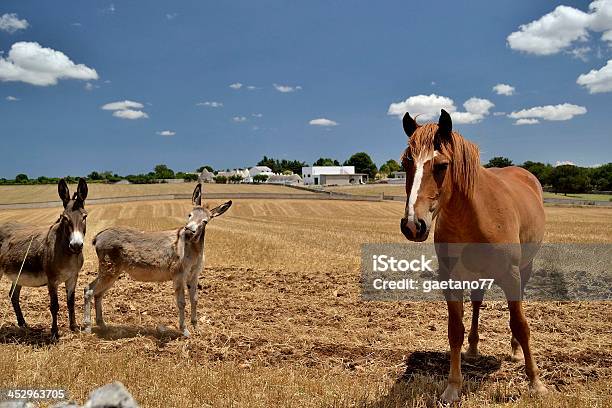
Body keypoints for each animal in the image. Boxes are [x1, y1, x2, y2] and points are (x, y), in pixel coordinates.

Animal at [400, 111, 548, 402]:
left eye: (442, 165)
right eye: (405, 162)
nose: (413, 225)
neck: (476, 215)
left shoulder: (511, 275)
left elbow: (521, 325)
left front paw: (535, 382)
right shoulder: (450, 279)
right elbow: (455, 330)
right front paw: (453, 387)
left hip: (524, 269)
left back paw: (515, 351)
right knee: (477, 304)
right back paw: (473, 348)